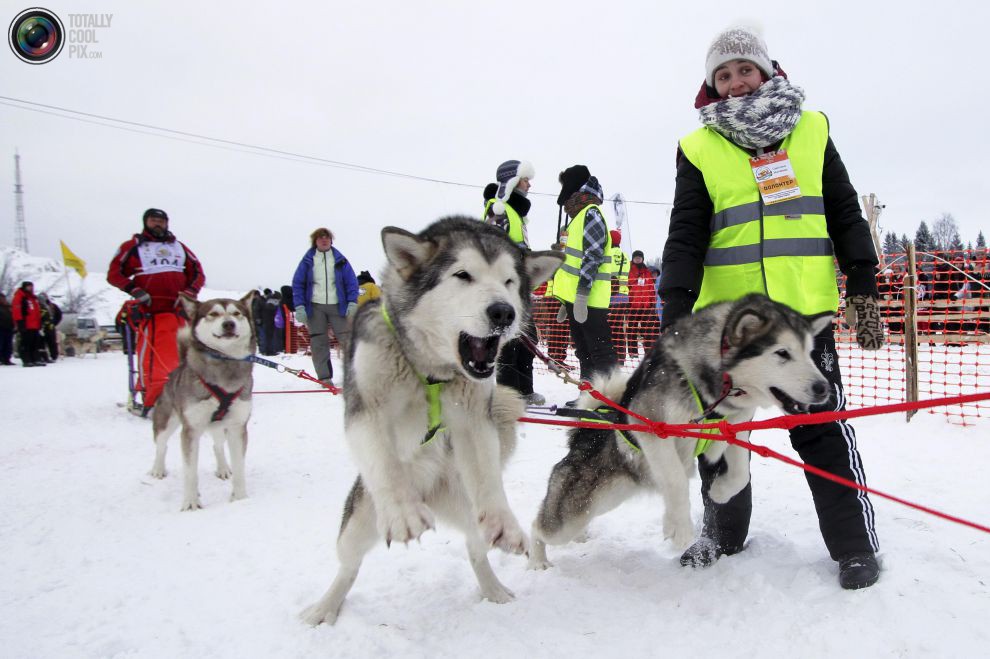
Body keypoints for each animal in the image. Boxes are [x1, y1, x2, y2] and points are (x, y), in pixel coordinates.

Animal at [148, 292, 258, 512]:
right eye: (213, 314)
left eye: (237, 313)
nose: (229, 324)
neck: (225, 368)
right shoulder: (190, 430)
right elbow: (190, 472)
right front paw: (191, 502)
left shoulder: (237, 427)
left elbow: (239, 466)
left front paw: (240, 499)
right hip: (166, 422)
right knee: (161, 446)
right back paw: (158, 469)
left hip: (219, 426)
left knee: (218, 446)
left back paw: (223, 468)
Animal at [300, 218, 564, 628]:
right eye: (463, 275)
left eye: (508, 281)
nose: (503, 312)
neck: (430, 373)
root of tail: (429, 493)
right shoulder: (367, 409)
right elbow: (384, 461)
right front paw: (403, 511)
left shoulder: (475, 419)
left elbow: (489, 476)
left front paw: (504, 521)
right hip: (360, 519)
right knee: (348, 566)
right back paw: (325, 608)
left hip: (468, 507)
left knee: (476, 549)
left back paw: (493, 590)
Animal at [532, 294, 832, 568]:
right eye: (782, 353)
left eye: (809, 352)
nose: (823, 388)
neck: (716, 388)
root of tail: (584, 435)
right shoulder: (654, 427)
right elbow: (676, 478)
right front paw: (679, 527)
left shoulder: (736, 427)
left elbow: (740, 475)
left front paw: (720, 492)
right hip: (569, 515)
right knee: (539, 527)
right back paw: (537, 561)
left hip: (604, 499)